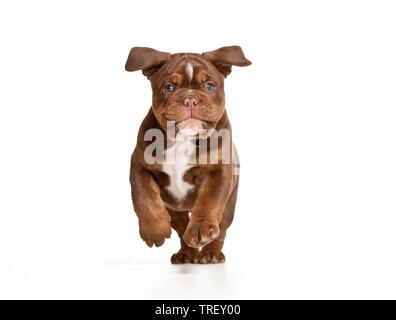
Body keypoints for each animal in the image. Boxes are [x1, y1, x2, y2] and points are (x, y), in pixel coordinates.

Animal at [125, 46, 251, 264]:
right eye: (168, 88)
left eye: (209, 86)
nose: (190, 99)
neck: (183, 140)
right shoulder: (139, 166)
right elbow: (144, 197)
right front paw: (154, 231)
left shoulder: (218, 171)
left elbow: (209, 202)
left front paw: (201, 229)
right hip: (175, 211)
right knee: (182, 227)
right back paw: (187, 253)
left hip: (230, 205)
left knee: (221, 229)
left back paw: (211, 254)